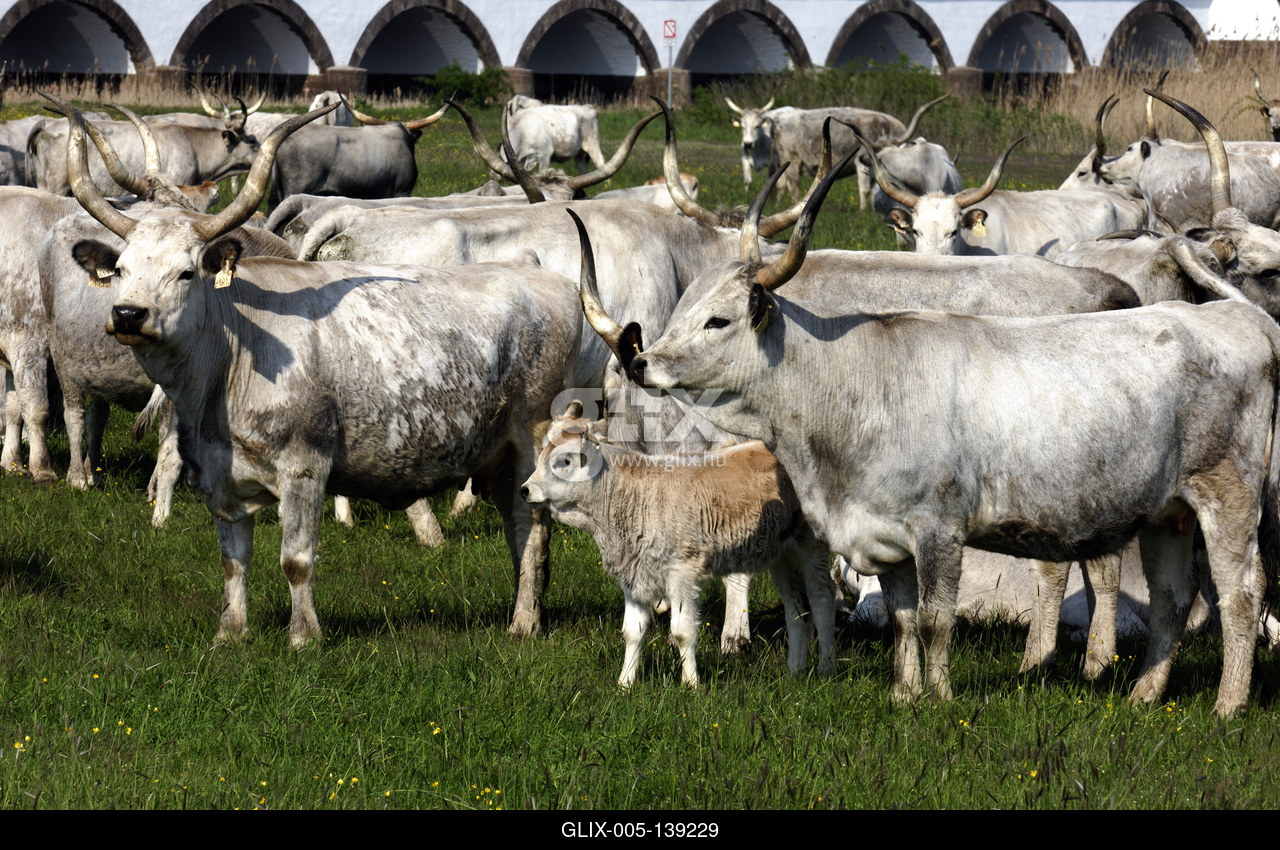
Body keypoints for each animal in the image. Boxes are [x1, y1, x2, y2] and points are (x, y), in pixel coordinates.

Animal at [520, 399, 834, 687]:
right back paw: (794, 672)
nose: (525, 490)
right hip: (781, 555)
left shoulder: (681, 572)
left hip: (811, 546)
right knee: (797, 612)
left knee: (822, 600)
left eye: (565, 461)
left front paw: (691, 684)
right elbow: (632, 631)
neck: (634, 496)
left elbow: (683, 632)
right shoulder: (634, 573)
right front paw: (625, 684)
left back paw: (825, 669)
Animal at [586, 156, 1280, 718]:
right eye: (682, 310)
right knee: (1171, 597)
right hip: (1169, 513)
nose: (641, 361)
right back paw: (1142, 694)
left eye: (718, 320)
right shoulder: (885, 534)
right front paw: (904, 693)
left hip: (1228, 498)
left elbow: (936, 619)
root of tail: (1234, 316)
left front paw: (940, 697)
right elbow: (902, 619)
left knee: (1241, 594)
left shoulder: (940, 528)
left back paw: (1227, 703)